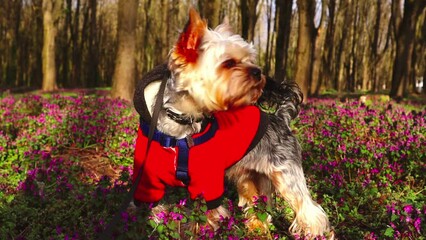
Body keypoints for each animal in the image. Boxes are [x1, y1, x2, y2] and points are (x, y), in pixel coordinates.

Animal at [133, 8, 332, 239]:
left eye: (249, 59)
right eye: (228, 63)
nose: (258, 72)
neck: (180, 126)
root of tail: (281, 118)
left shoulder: (208, 180)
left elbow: (207, 215)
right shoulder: (149, 179)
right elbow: (155, 210)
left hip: (286, 174)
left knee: (310, 210)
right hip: (249, 176)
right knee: (259, 205)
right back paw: (257, 228)